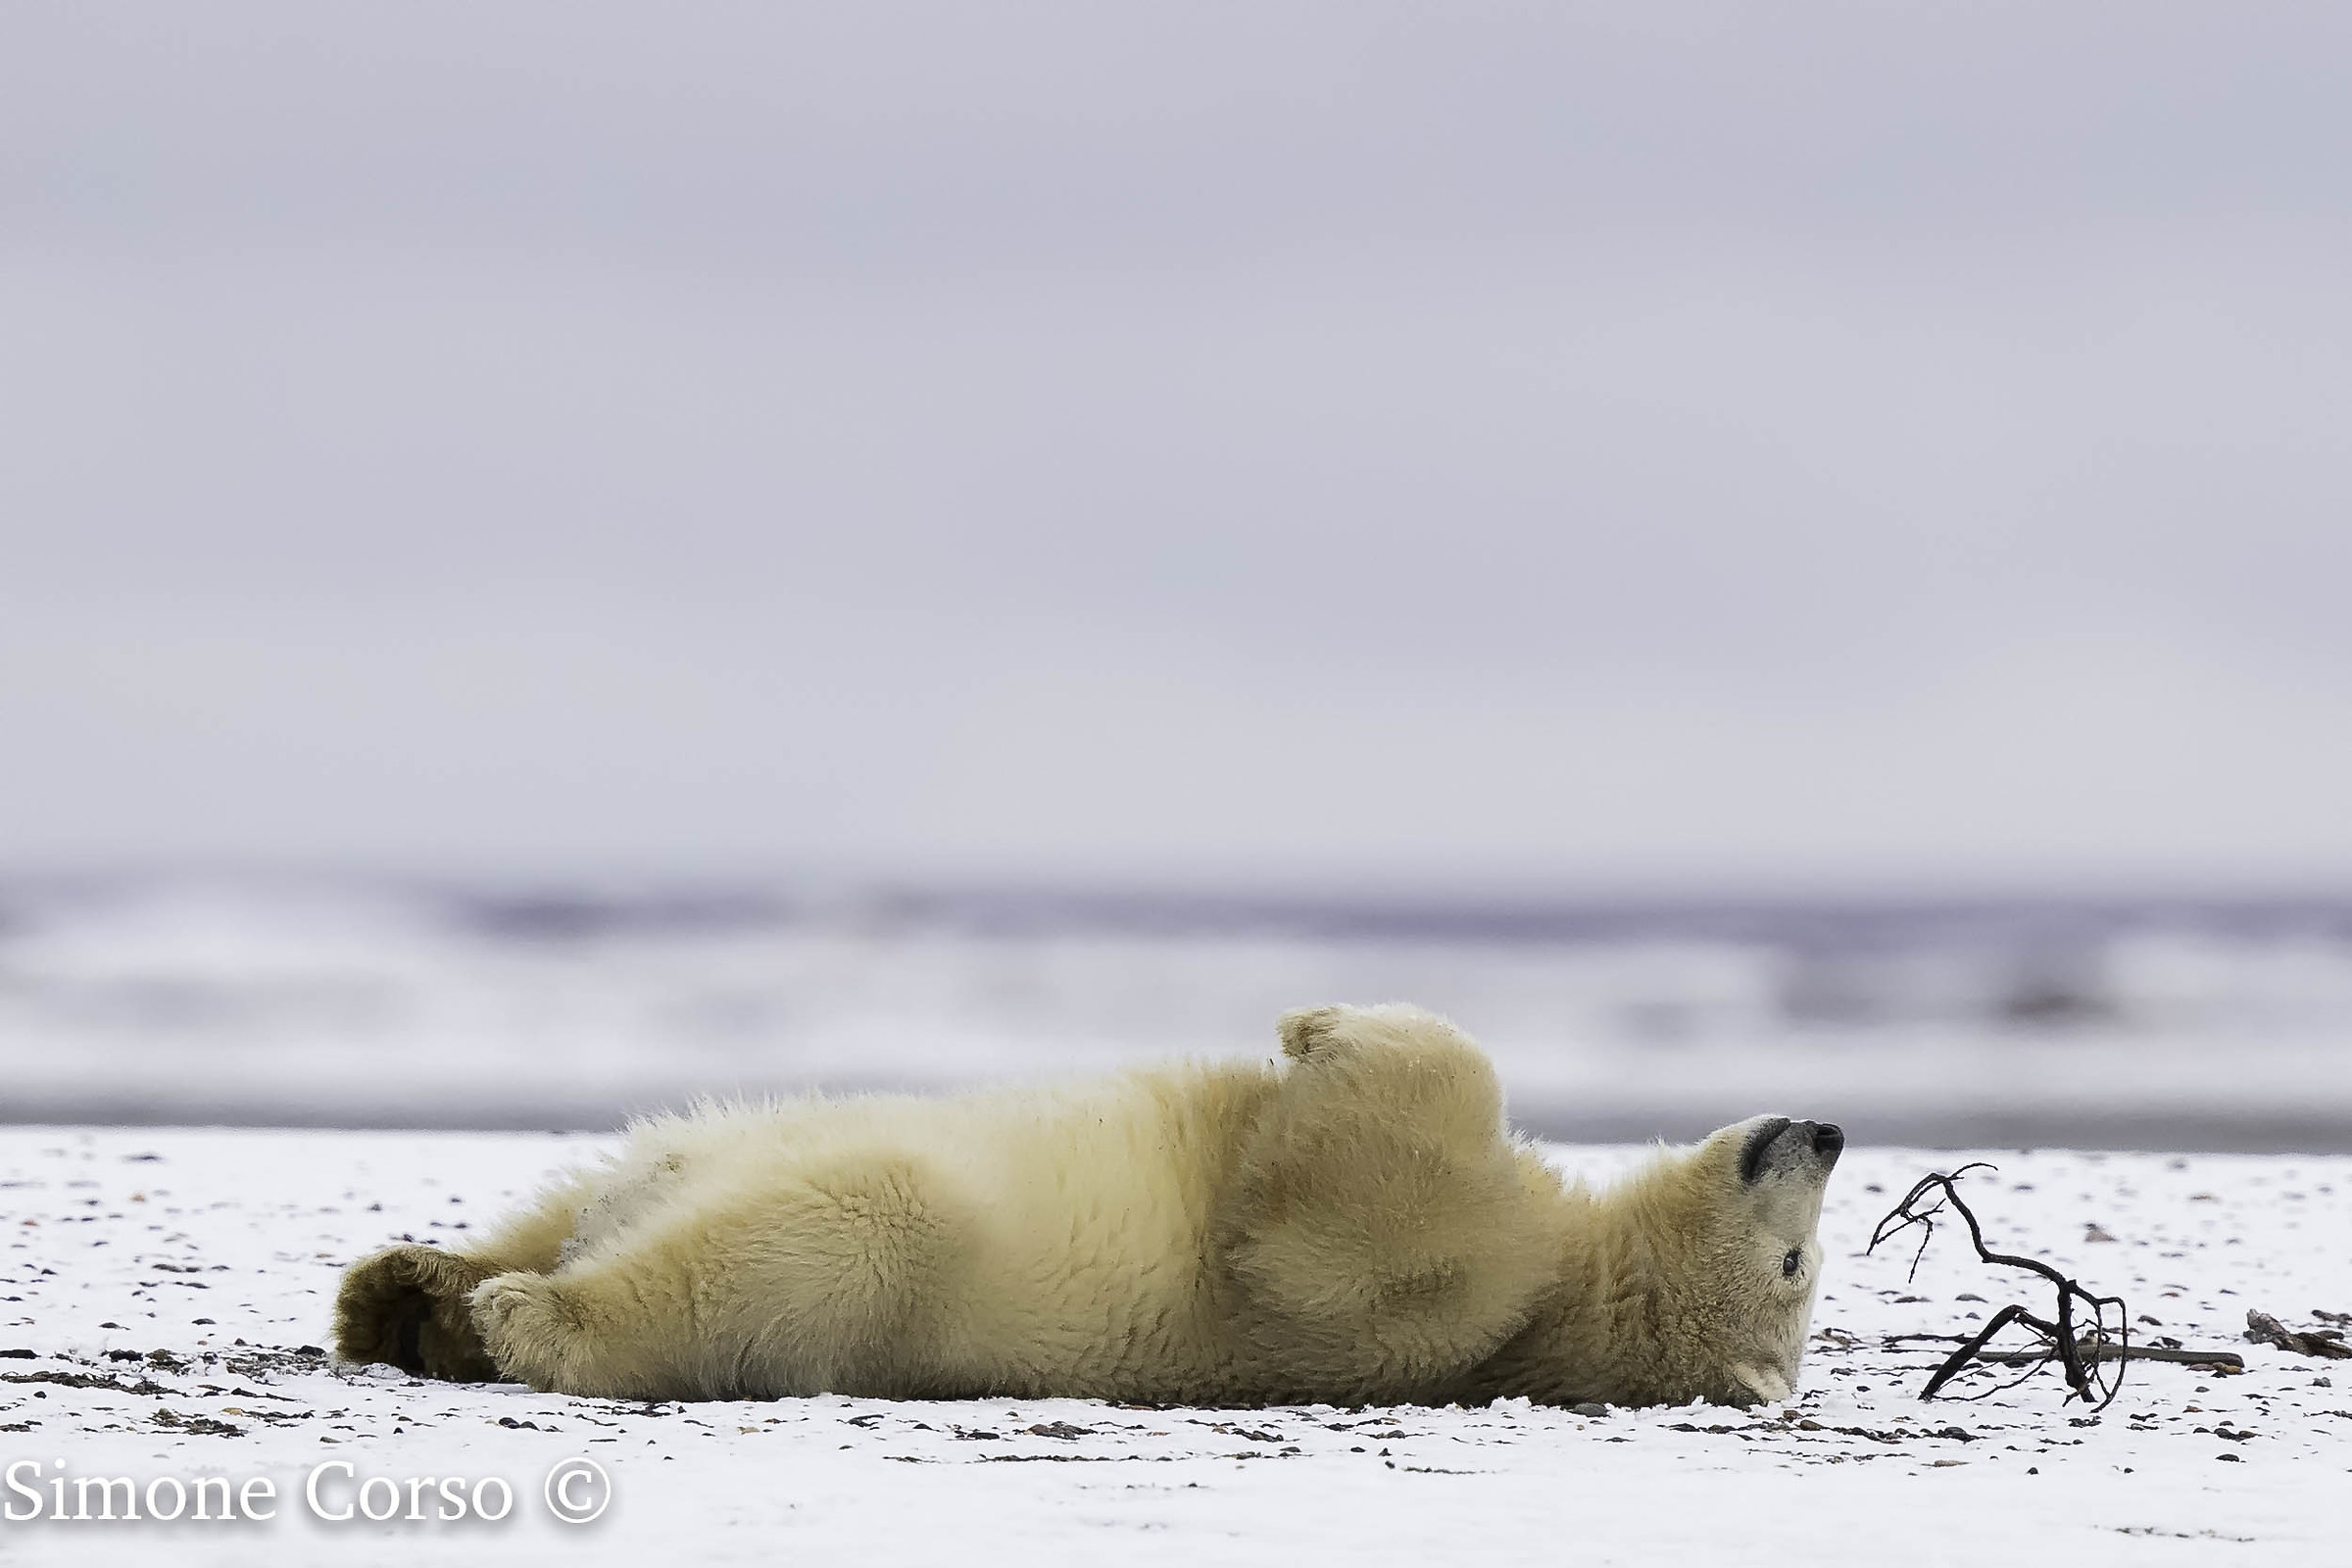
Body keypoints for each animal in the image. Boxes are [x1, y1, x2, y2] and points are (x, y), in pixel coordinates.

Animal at [336, 1005, 1835, 1410]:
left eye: (1796, 1271)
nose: (1826, 1128)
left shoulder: (1444, 1299)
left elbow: (1325, 1245)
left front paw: (1320, 1027)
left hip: (892, 1261)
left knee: (803, 1235)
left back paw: (514, 1316)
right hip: (658, 1158)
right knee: (594, 1189)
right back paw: (402, 1288)